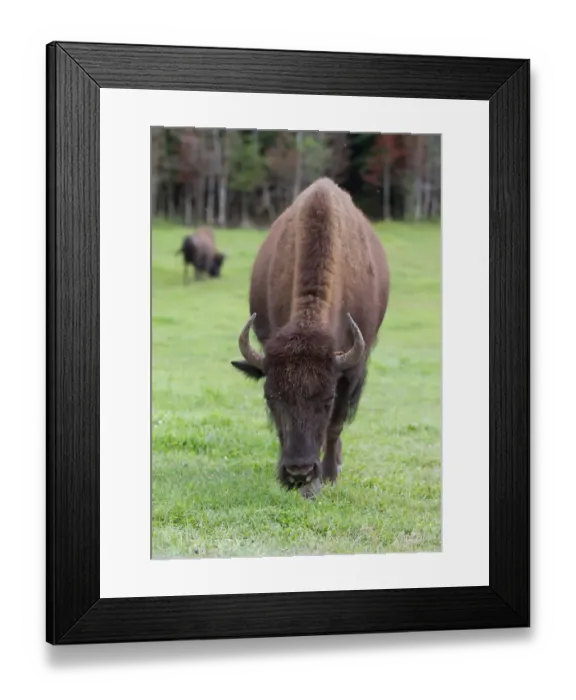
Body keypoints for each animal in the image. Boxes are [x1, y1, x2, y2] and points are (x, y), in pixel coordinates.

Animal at [231, 177, 390, 499]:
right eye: (270, 397)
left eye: (327, 398)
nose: (298, 472)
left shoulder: (349, 372)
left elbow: (335, 425)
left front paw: (325, 477)